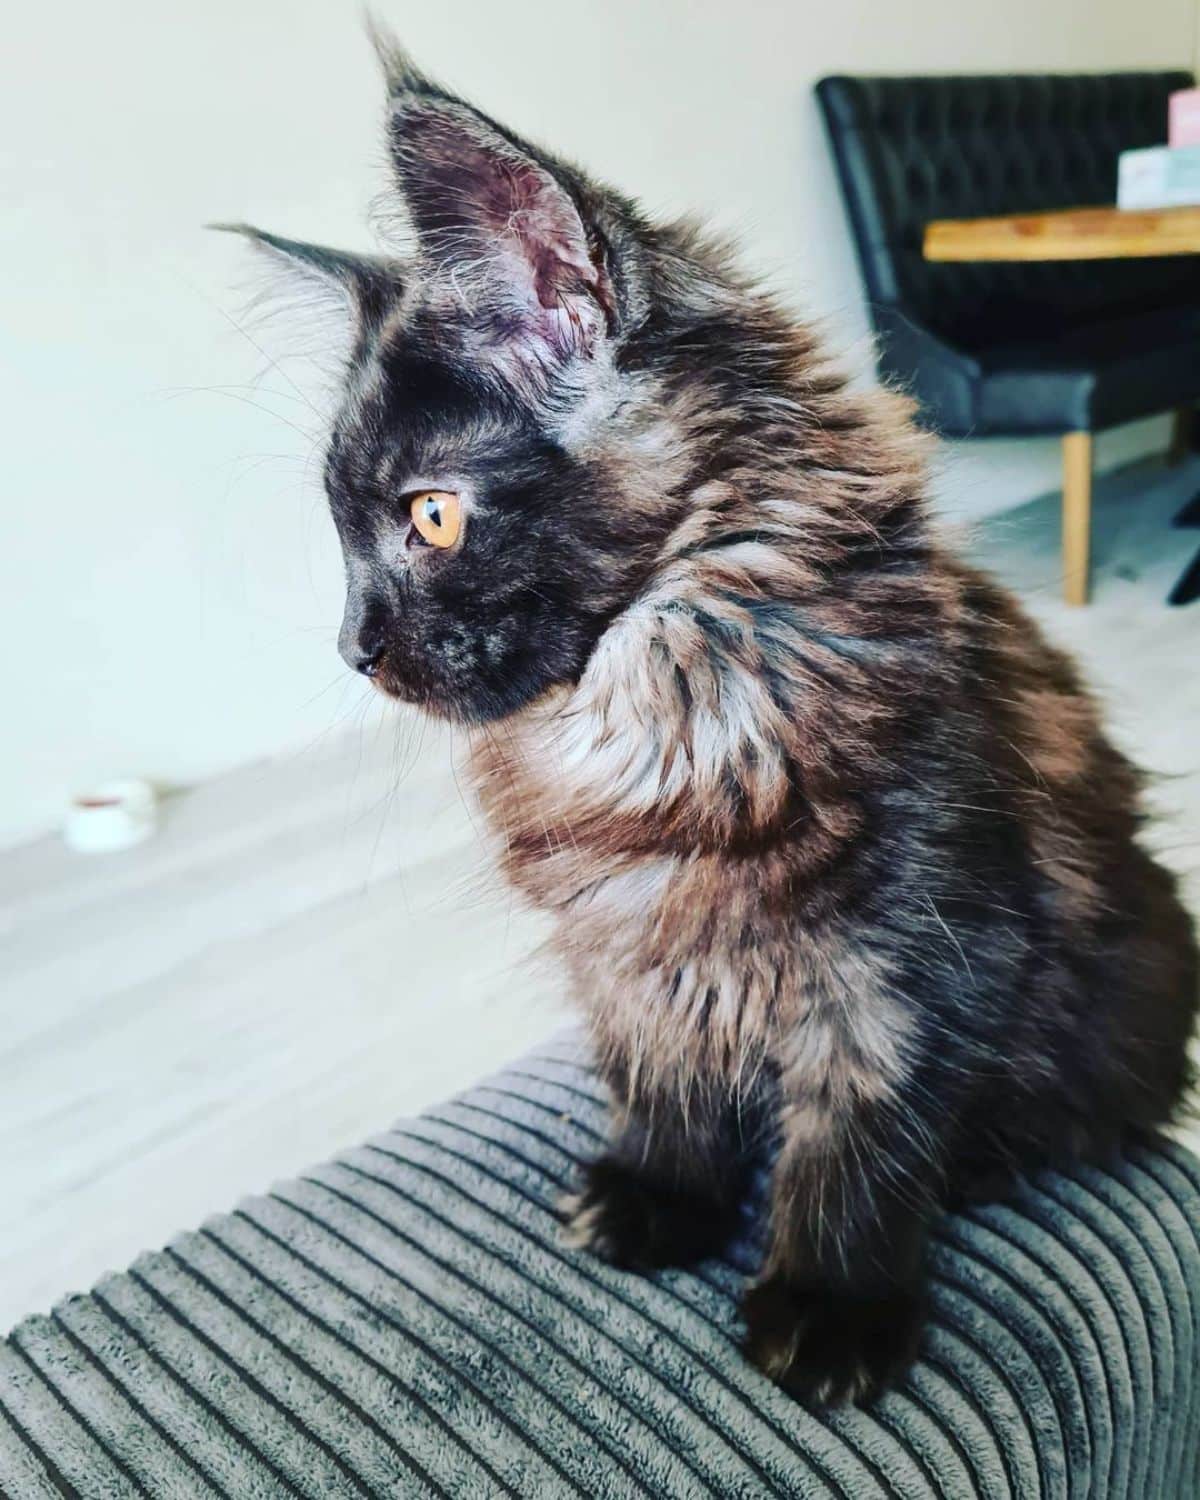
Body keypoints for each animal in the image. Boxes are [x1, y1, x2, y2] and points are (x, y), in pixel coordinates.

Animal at [220, 38, 1194, 1404]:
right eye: (343, 535)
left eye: (430, 518)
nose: (353, 647)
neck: (659, 716)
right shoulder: (631, 952)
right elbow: (664, 1085)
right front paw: (657, 1202)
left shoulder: (911, 957)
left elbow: (861, 1140)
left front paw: (831, 1309)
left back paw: (982, 1163)